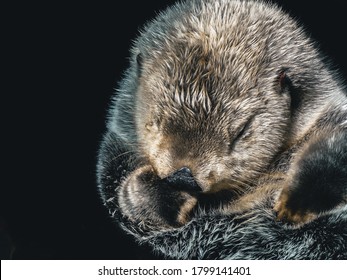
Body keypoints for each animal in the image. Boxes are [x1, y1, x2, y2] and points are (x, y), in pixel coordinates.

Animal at [97, 0, 347, 258]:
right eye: (156, 120)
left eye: (241, 131)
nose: (182, 175)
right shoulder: (117, 149)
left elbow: (334, 150)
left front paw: (296, 203)